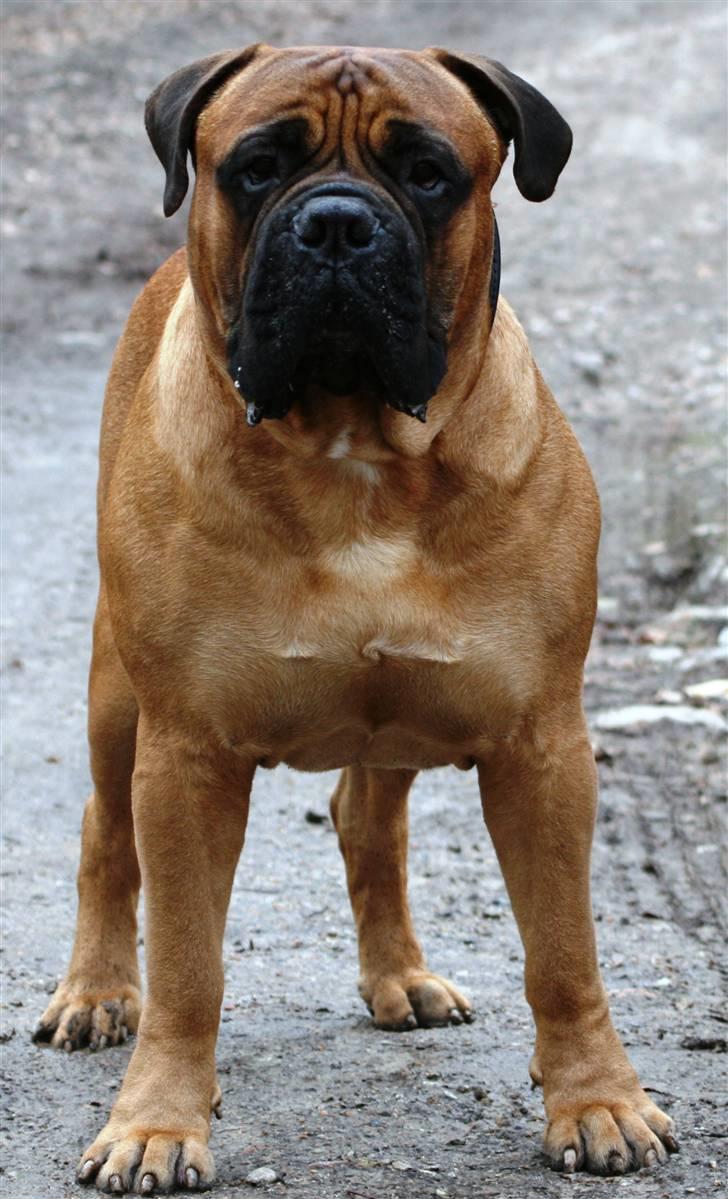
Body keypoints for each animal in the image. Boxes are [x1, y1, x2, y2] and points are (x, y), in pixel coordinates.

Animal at [34, 44, 681, 1189]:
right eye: (256, 167)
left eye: (427, 172)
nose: (335, 223)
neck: (355, 451)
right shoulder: (186, 753)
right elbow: (187, 964)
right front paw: (156, 1120)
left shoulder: (542, 747)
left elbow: (565, 952)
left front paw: (596, 1100)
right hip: (118, 700)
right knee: (106, 836)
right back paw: (97, 990)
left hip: (398, 717)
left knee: (366, 822)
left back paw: (401, 975)